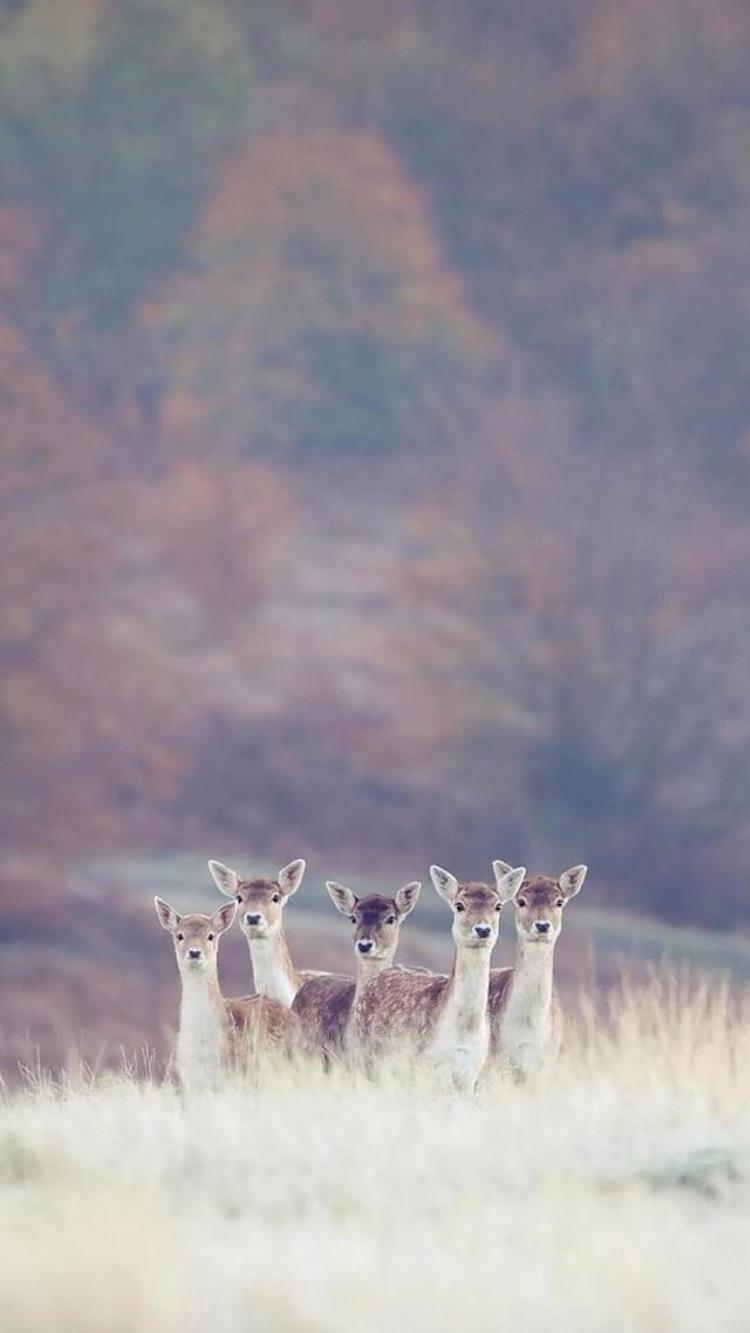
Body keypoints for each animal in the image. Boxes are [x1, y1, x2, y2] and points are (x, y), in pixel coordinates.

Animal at [354, 863, 524, 1093]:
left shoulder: (471, 1073)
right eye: (459, 905)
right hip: (370, 1057)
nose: (482, 929)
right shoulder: (423, 1063)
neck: (464, 1029)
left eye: (498, 906)